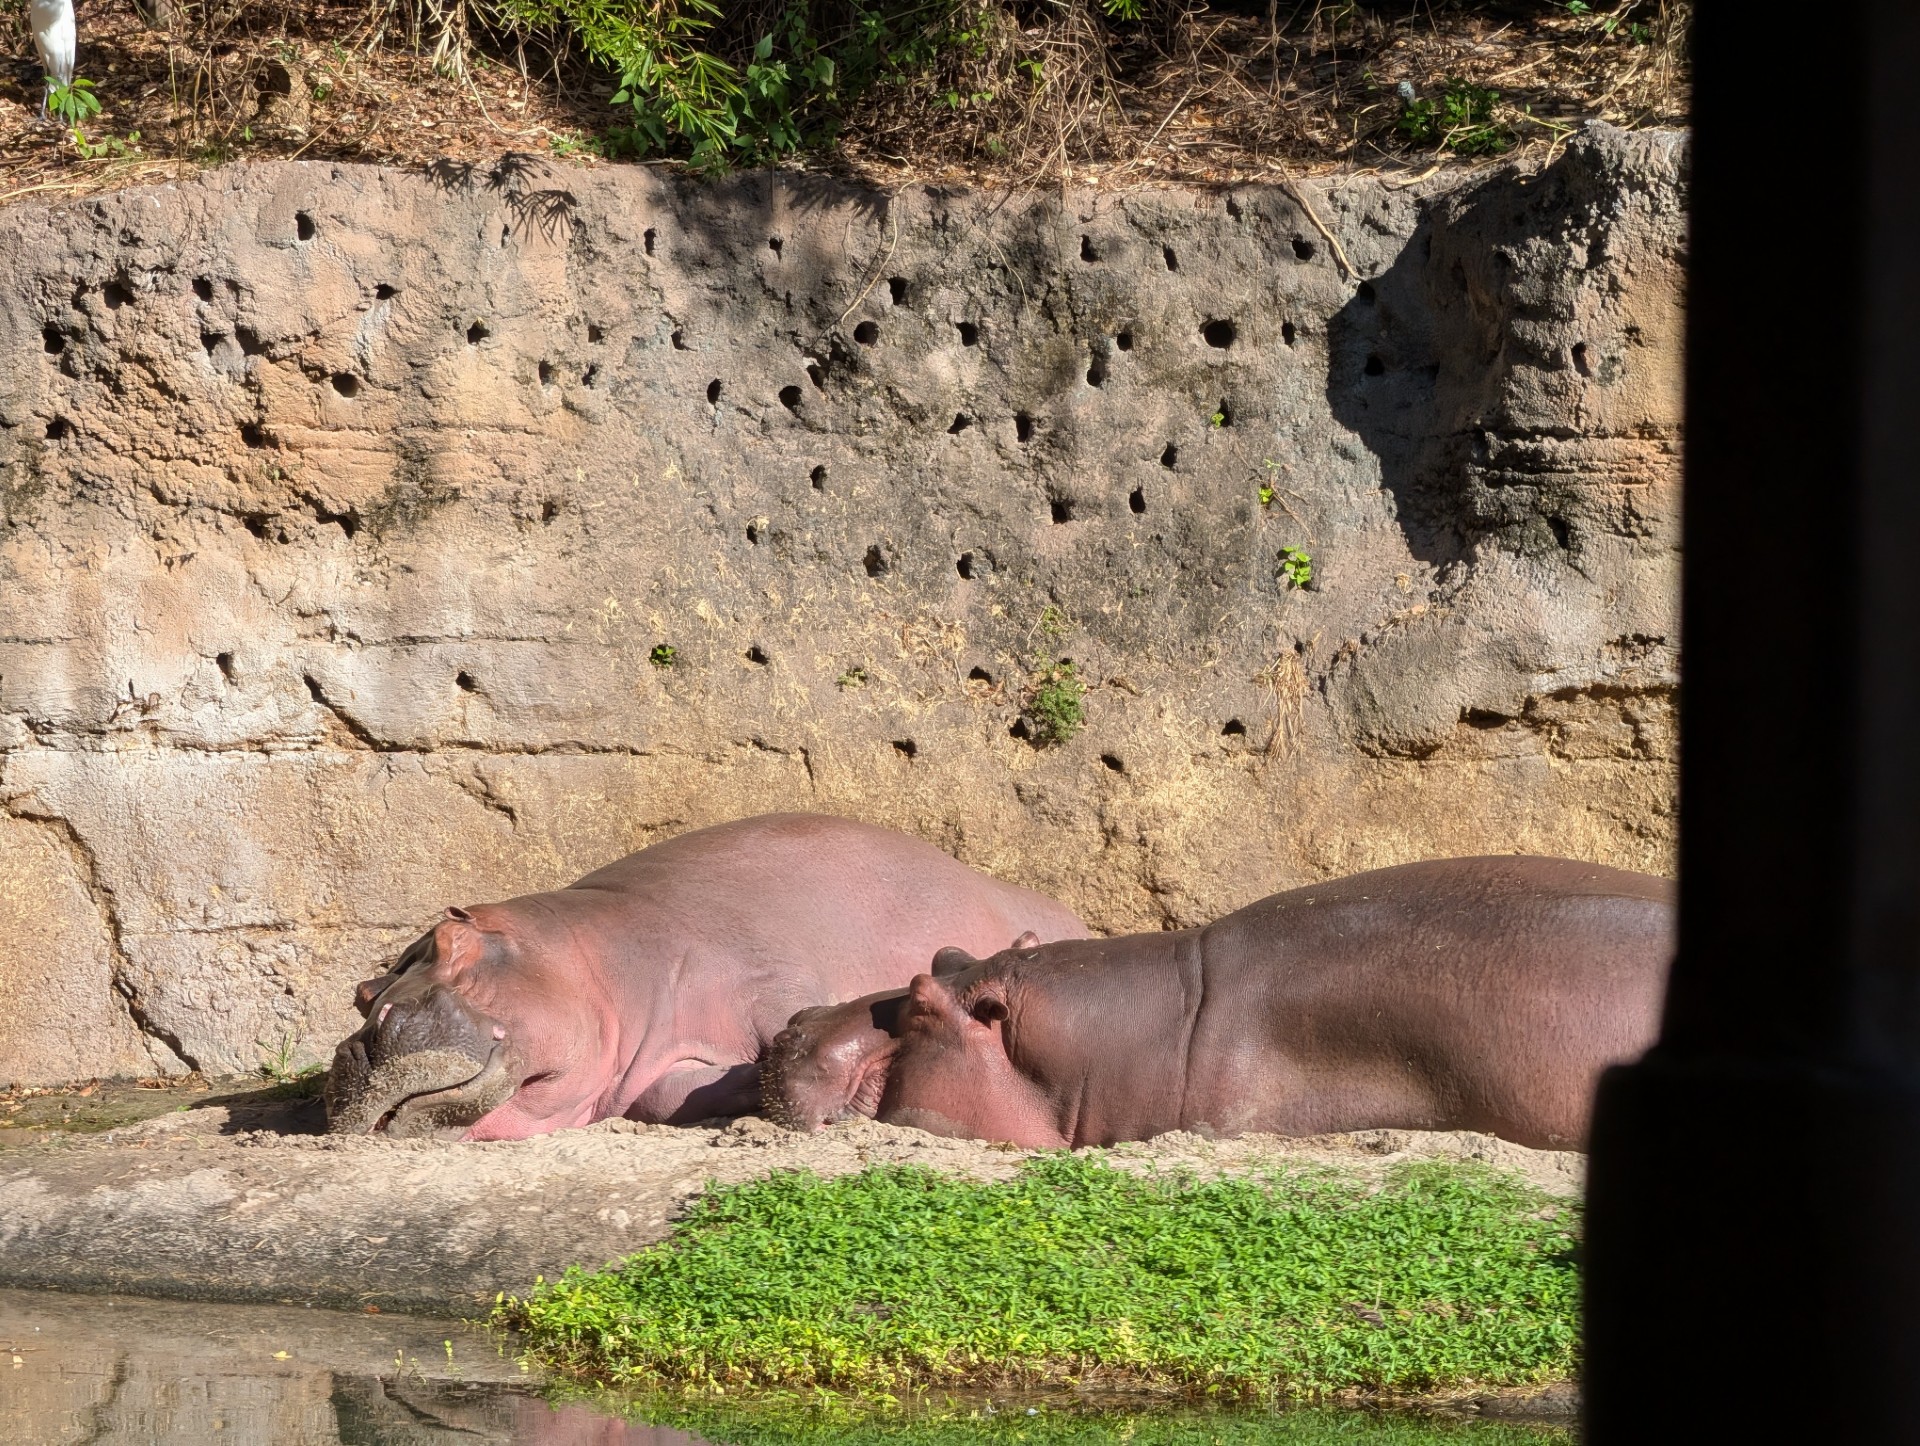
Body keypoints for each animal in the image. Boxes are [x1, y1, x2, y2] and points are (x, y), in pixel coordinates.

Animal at [325, 814, 1085, 1141]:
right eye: (361, 995)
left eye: (451, 940)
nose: (361, 1041)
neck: (595, 958)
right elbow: (671, 1095)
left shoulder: (769, 980)